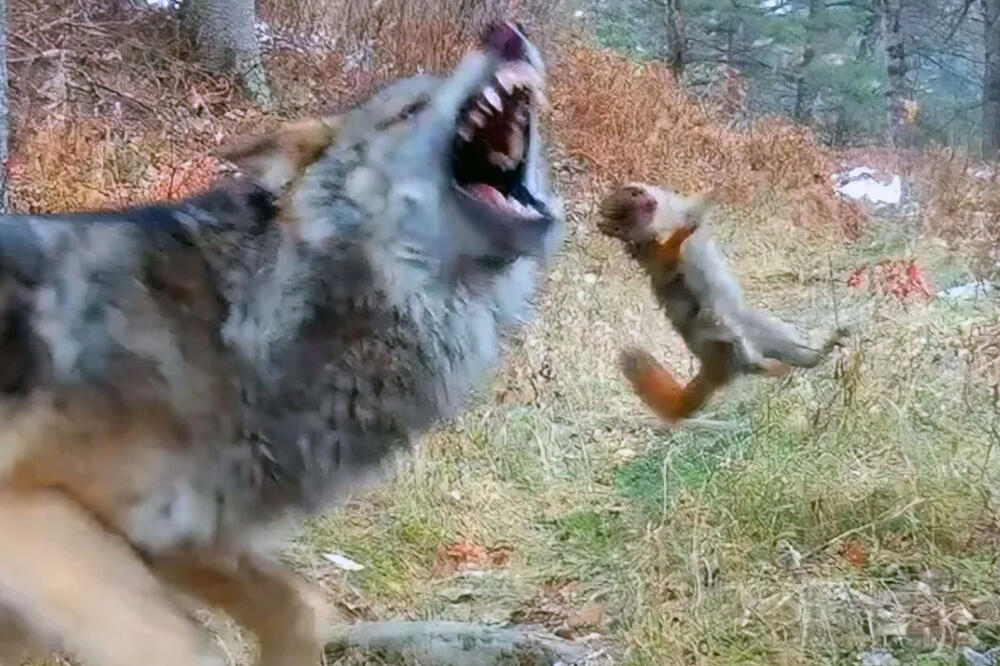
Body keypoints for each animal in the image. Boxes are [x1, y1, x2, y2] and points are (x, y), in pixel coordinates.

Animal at [0, 22, 560, 664]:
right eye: (409, 110)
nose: (504, 32)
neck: (245, 326)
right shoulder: (32, 514)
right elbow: (184, 645)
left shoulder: (177, 537)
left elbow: (301, 607)